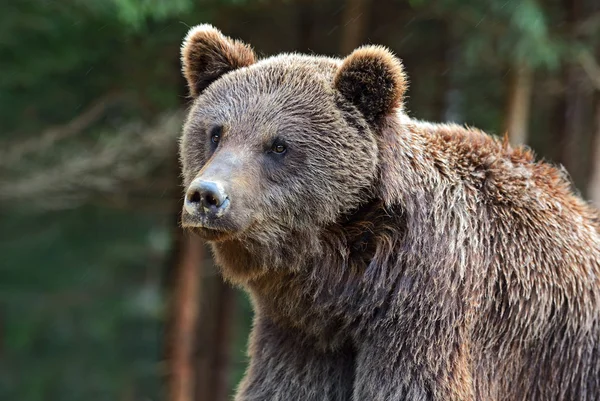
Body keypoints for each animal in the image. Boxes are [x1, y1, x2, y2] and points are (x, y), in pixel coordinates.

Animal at [177, 25, 600, 400]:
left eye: (279, 145)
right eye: (216, 132)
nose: (207, 196)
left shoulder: (422, 309)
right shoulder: (298, 331)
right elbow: (285, 386)